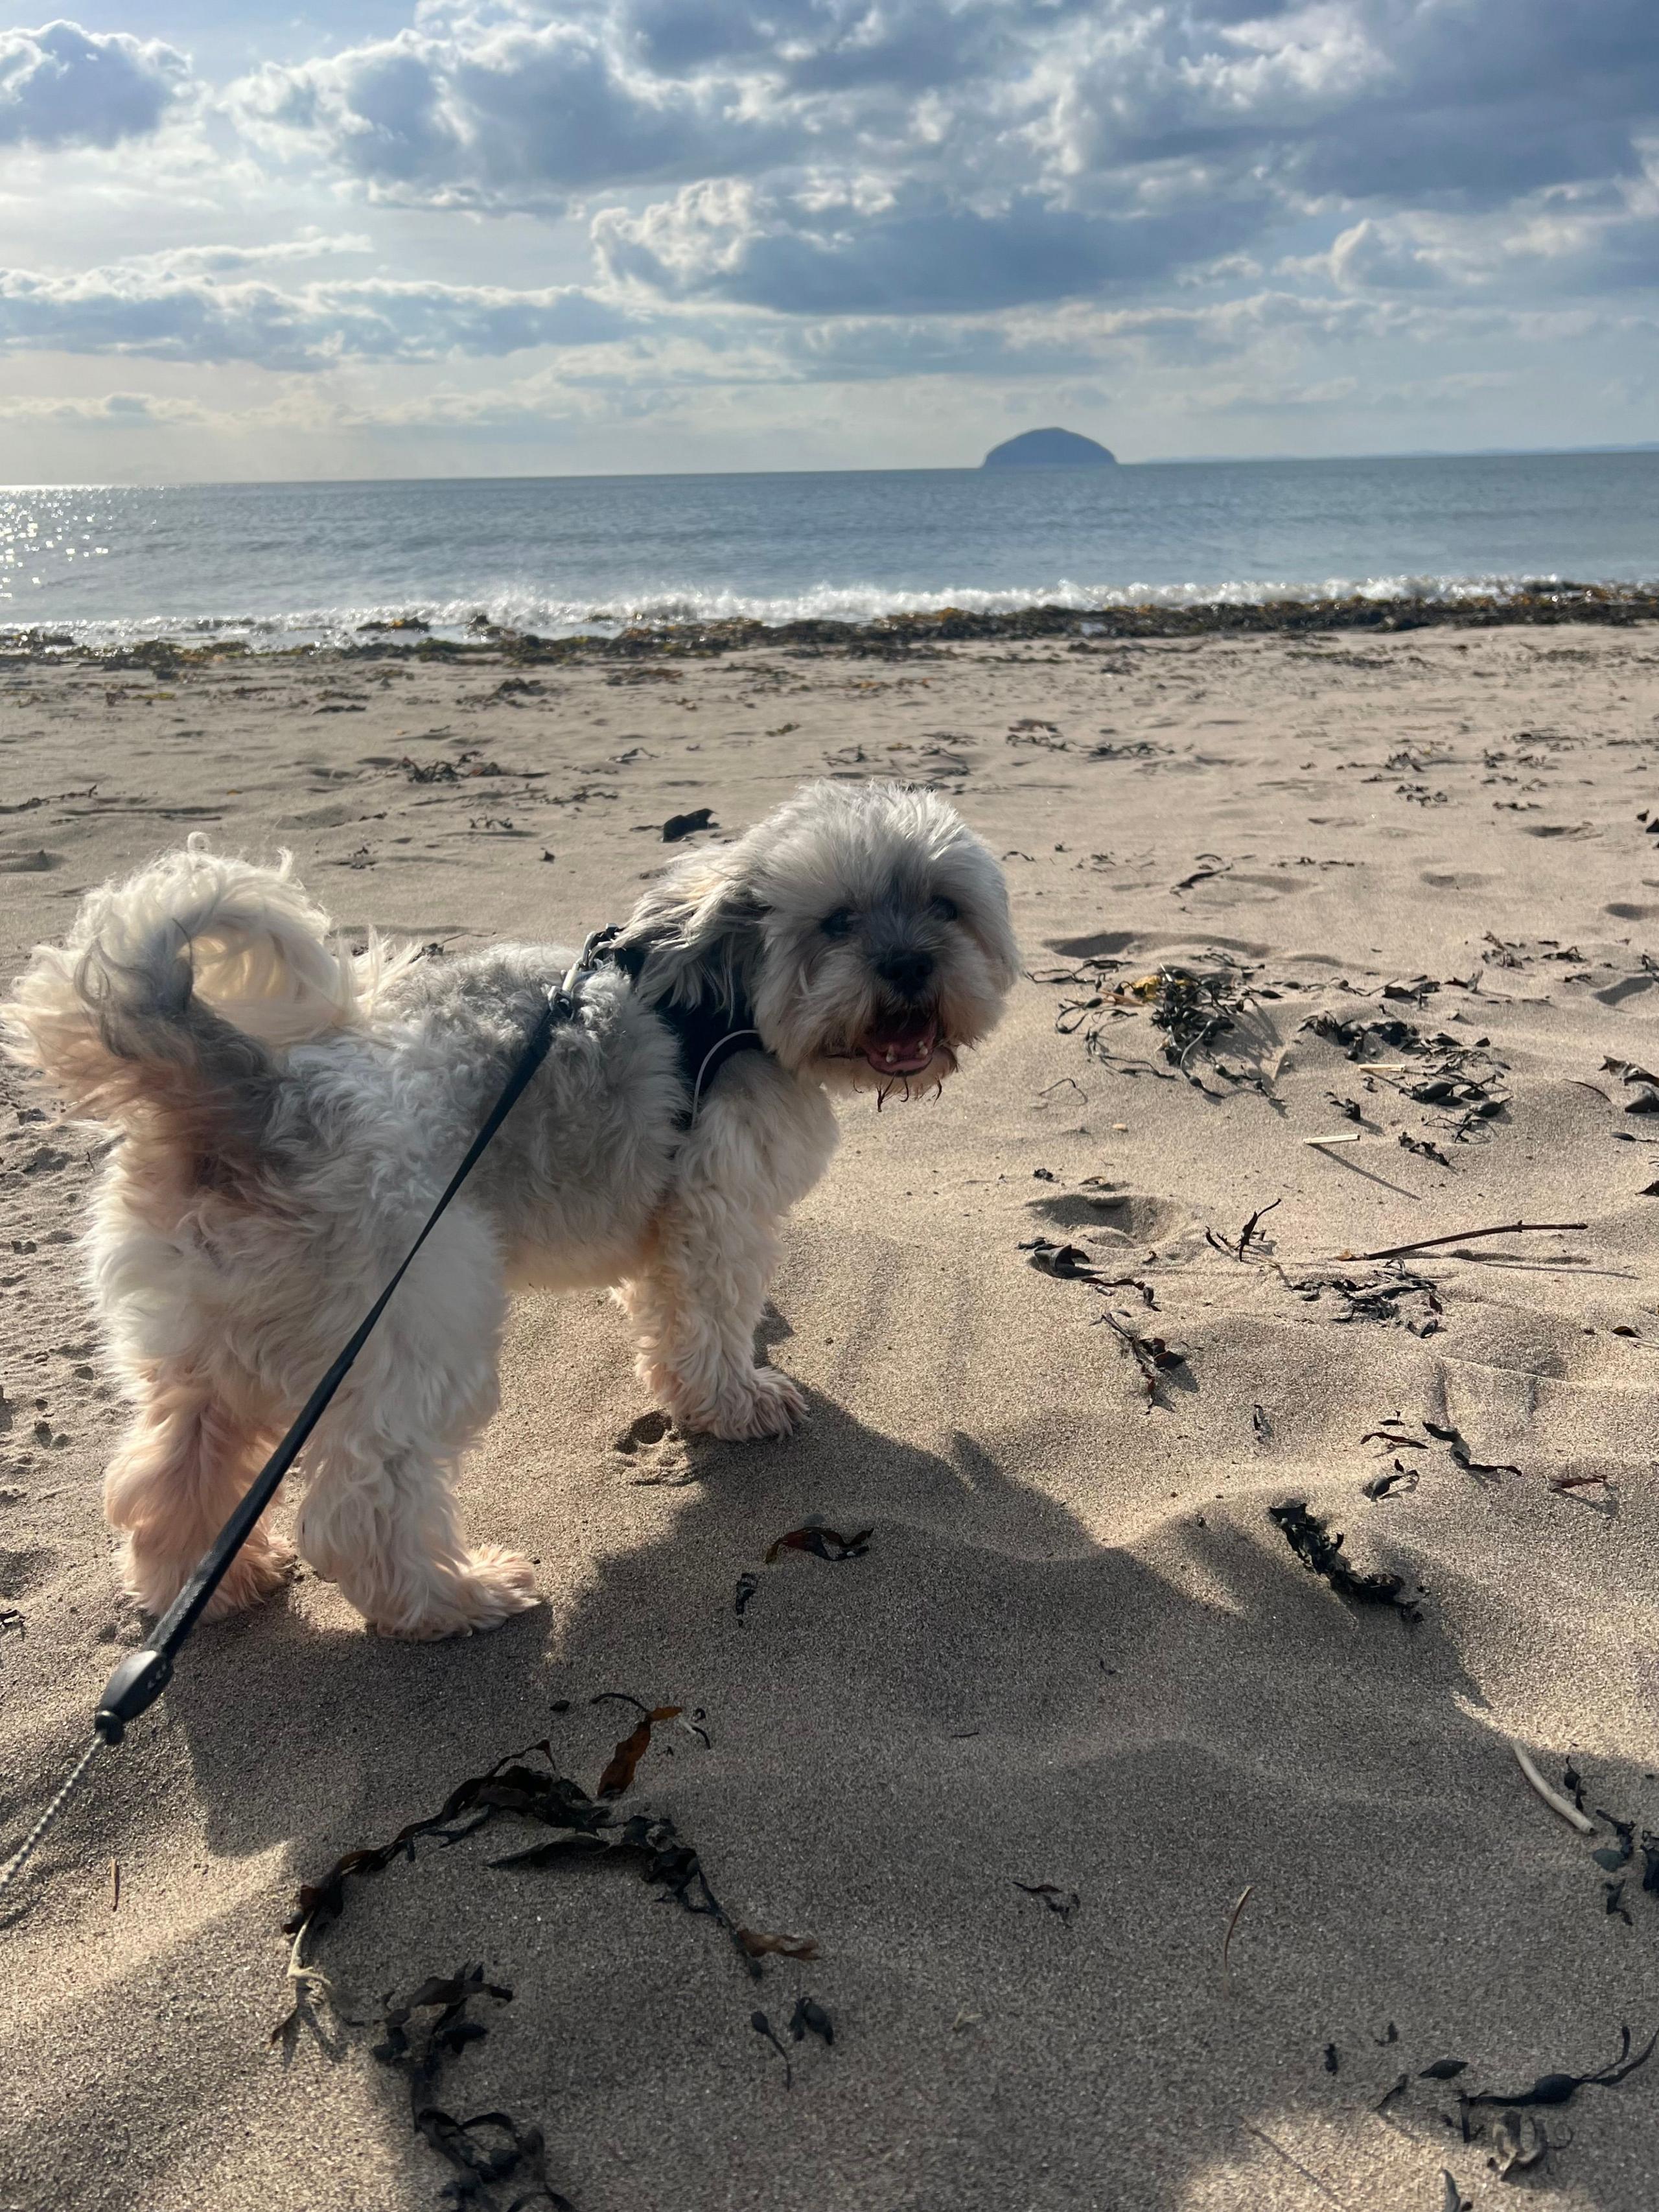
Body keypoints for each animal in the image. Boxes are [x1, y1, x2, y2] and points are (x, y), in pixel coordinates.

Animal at [6, 787, 1021, 1636]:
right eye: (837, 922)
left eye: (944, 907)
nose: (908, 965)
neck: (729, 1000)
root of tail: (255, 1092)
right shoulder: (718, 1214)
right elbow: (711, 1321)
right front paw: (736, 1402)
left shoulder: (670, 1227)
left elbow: (665, 1315)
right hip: (416, 1325)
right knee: (363, 1503)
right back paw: (451, 1600)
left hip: (212, 1340)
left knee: (166, 1472)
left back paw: (219, 1582)